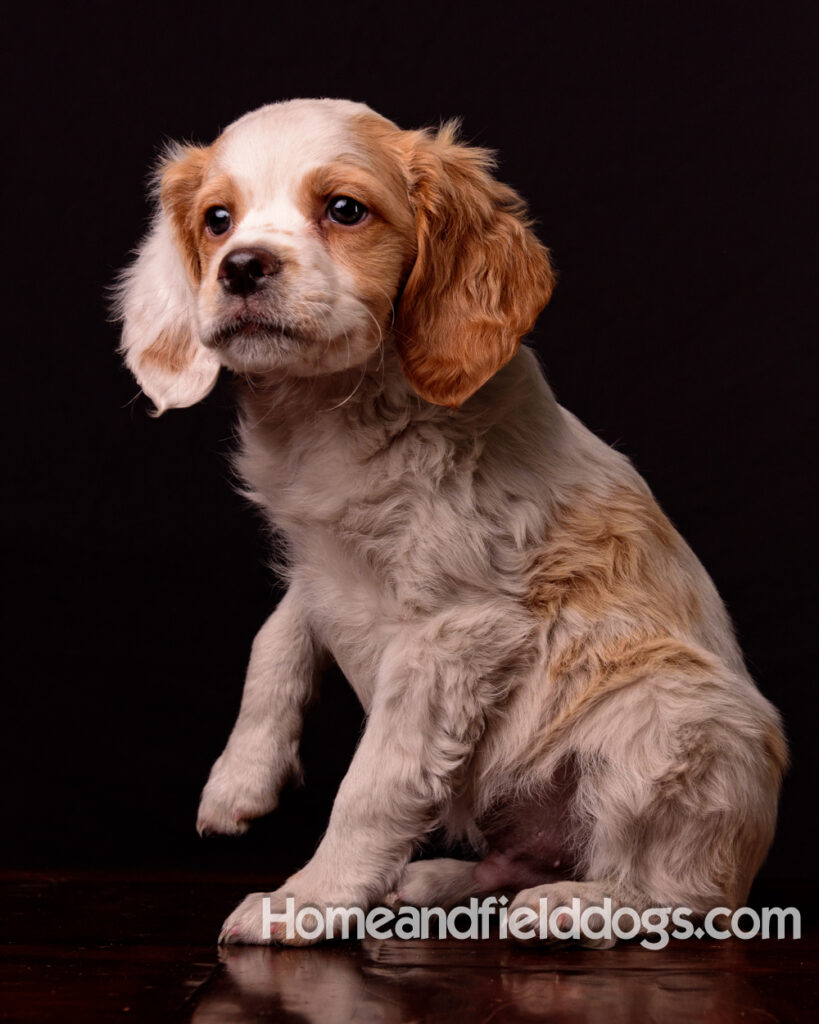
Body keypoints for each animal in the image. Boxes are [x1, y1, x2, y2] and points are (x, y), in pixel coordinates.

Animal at [116, 96, 786, 942]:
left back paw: (572, 905)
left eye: (344, 210)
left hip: (663, 720)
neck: (330, 413)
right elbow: (274, 641)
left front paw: (310, 900)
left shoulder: (450, 633)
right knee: (520, 861)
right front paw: (240, 779)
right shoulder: (320, 563)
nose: (240, 265)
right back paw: (433, 879)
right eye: (216, 220)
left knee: (679, 894)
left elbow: (373, 783)